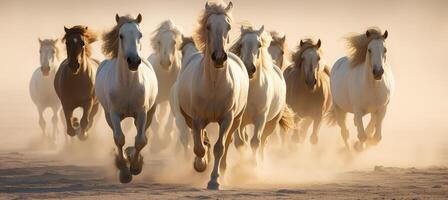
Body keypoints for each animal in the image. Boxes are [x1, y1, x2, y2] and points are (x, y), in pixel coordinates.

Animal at [95, 13, 158, 183]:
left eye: (140, 35)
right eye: (121, 35)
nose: (134, 61)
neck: (128, 85)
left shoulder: (142, 112)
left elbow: (140, 140)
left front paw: (135, 166)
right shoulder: (114, 114)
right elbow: (119, 139)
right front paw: (124, 171)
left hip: (148, 114)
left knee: (142, 135)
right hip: (108, 116)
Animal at [147, 19, 182, 152]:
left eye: (174, 42)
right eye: (159, 41)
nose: (166, 63)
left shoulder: (173, 100)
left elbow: (169, 124)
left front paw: (165, 141)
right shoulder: (154, 100)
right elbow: (155, 124)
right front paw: (157, 144)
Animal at [173, 1, 248, 189]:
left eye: (228, 26)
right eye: (208, 26)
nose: (219, 57)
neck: (214, 85)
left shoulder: (227, 119)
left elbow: (219, 147)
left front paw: (214, 180)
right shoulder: (197, 118)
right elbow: (199, 147)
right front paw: (200, 165)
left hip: (236, 121)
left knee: (227, 143)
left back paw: (223, 169)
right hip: (190, 118)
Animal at [229, 26, 296, 164]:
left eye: (259, 45)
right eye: (241, 44)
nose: (249, 68)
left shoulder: (260, 118)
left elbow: (255, 142)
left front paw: (254, 165)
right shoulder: (238, 119)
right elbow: (240, 142)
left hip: (271, 123)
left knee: (264, 141)